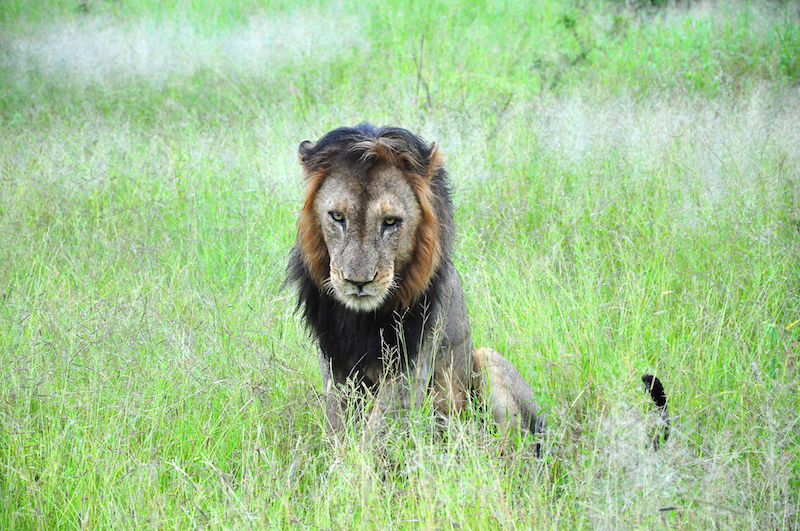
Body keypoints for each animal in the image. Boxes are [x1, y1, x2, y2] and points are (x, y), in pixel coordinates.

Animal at [286, 123, 545, 448]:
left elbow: (376, 431)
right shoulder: (333, 356)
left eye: (390, 222)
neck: (363, 318)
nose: (358, 281)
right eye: (337, 217)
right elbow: (339, 422)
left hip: (488, 361)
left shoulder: (412, 364)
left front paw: (358, 462)